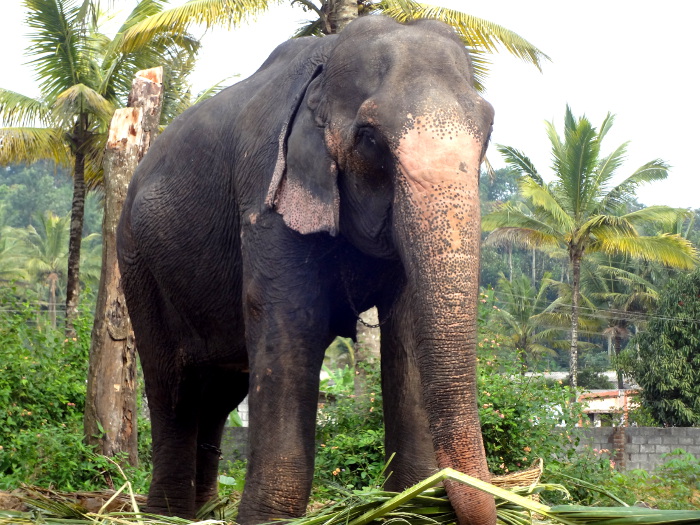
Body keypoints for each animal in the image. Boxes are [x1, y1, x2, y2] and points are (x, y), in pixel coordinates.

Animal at [116, 13, 492, 525]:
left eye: (488, 130)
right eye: (369, 138)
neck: (326, 61)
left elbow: (408, 327)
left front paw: (409, 504)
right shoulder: (264, 195)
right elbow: (291, 323)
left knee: (219, 392)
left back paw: (205, 510)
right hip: (136, 261)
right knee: (173, 387)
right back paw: (166, 515)